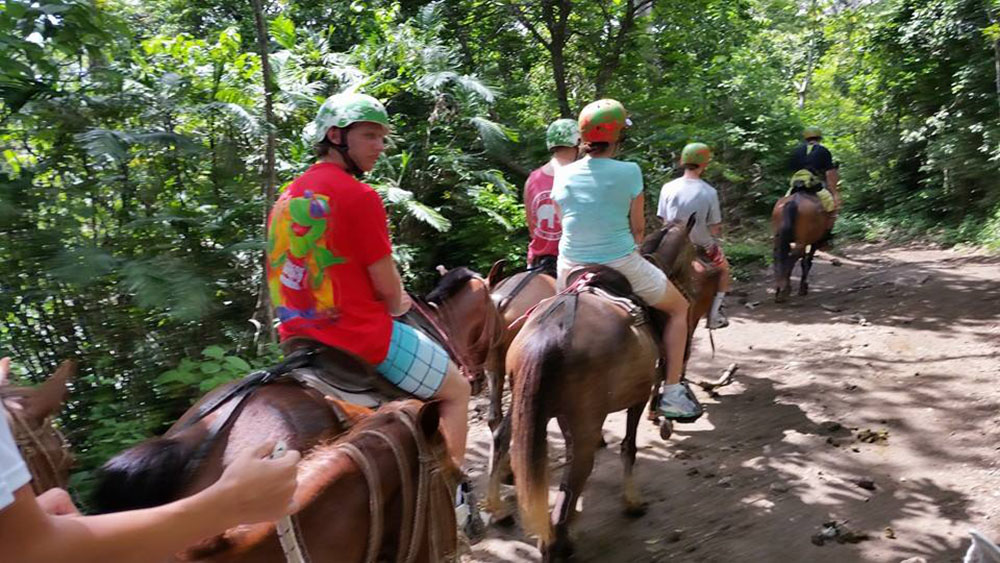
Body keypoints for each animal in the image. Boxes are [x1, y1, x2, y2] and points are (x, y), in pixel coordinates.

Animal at [488, 220, 699, 560]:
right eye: (694, 251)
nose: (693, 291)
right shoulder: (638, 395)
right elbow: (629, 446)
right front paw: (632, 501)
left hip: (521, 399)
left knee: (502, 435)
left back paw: (500, 509)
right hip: (582, 415)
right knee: (579, 466)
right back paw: (557, 541)